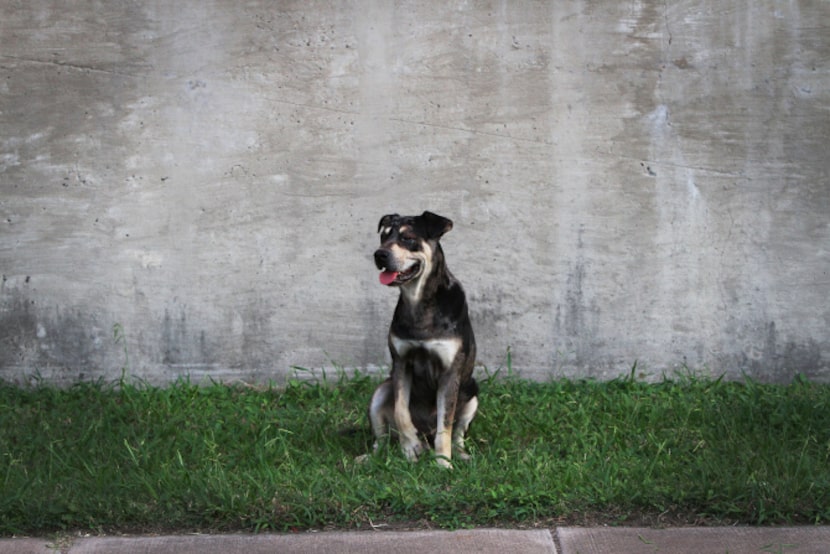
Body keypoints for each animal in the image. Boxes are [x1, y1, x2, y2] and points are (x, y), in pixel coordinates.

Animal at [368, 210, 478, 466]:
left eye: (408, 238)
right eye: (383, 237)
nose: (379, 254)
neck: (419, 302)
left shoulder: (450, 371)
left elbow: (445, 425)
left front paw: (443, 463)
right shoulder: (401, 362)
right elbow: (400, 411)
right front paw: (410, 448)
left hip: (473, 393)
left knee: (457, 432)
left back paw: (460, 454)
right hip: (381, 391)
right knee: (382, 439)